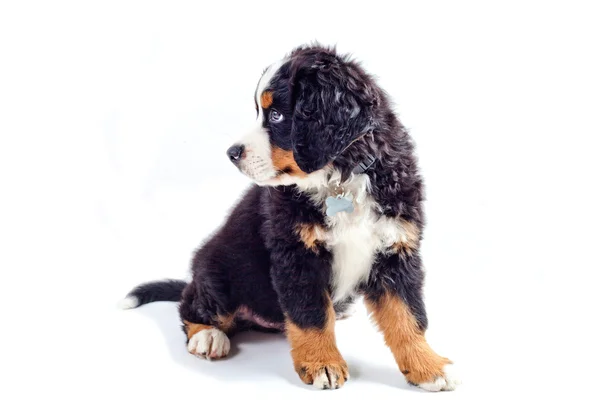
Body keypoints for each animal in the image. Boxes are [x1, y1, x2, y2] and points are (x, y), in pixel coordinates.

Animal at [120, 43, 460, 390]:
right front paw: (323, 363)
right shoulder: (296, 254)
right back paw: (208, 336)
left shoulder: (395, 247)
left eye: (277, 115)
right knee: (192, 304)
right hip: (219, 271)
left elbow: (408, 316)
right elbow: (312, 315)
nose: (232, 153)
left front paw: (427, 366)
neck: (340, 179)